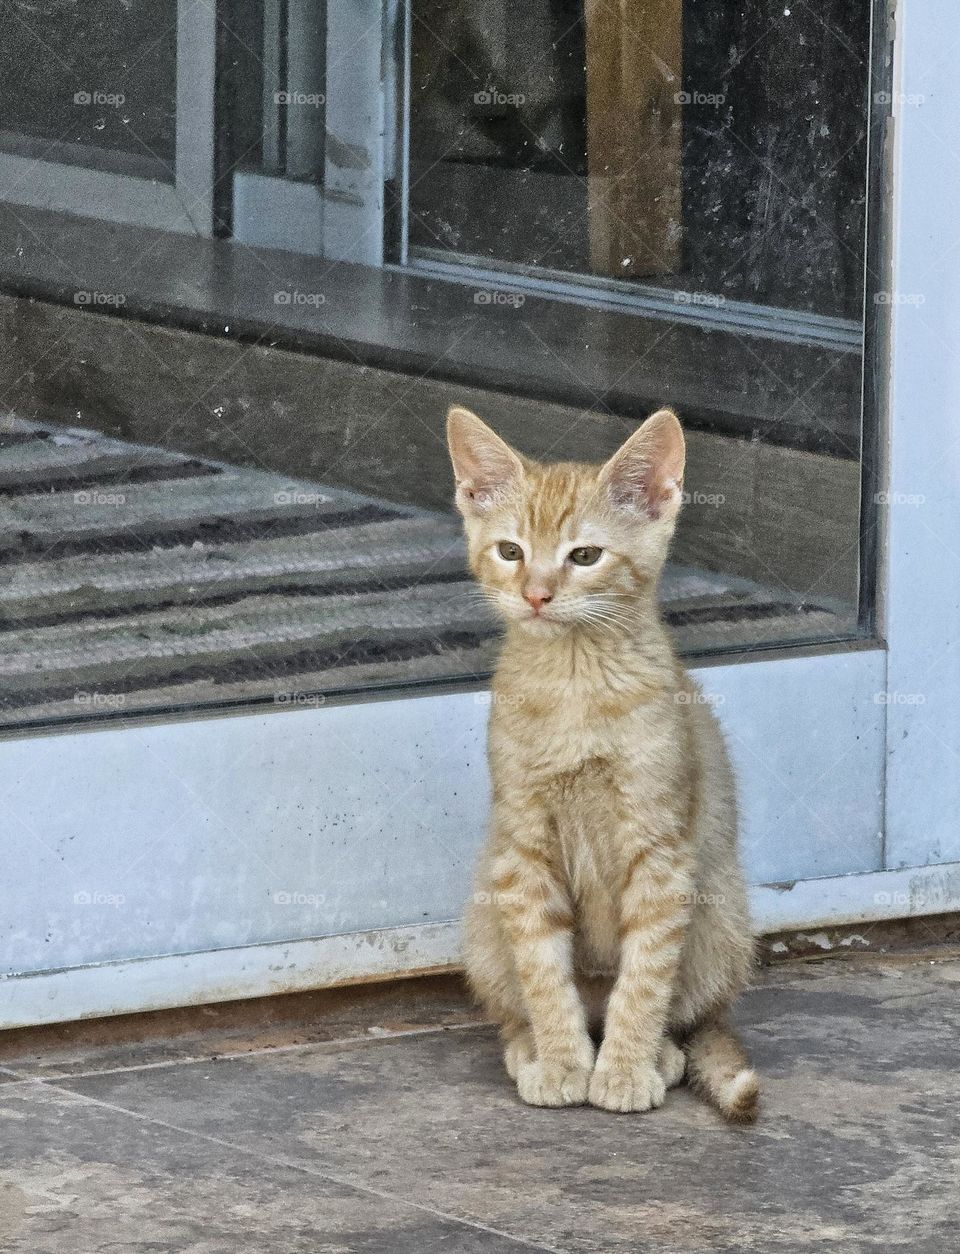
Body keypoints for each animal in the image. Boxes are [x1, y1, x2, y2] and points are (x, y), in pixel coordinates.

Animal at [448, 406, 761, 1123]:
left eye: (585, 556)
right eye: (510, 552)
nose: (536, 595)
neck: (575, 684)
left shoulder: (661, 850)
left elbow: (645, 976)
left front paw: (621, 1070)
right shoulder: (523, 848)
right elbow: (543, 970)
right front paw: (565, 1062)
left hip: (721, 915)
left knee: (683, 1011)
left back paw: (660, 1053)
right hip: (483, 920)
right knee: (519, 1001)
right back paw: (529, 1045)